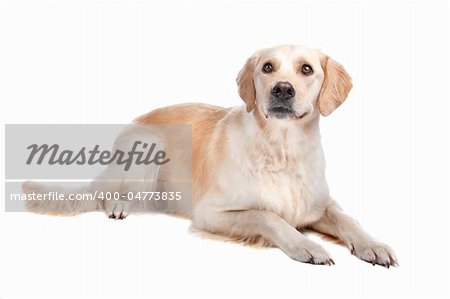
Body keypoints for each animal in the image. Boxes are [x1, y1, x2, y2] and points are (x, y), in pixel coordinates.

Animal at [23, 45, 398, 270]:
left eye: (306, 69)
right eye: (268, 67)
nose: (282, 89)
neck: (282, 149)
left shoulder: (321, 204)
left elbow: (349, 220)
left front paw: (373, 245)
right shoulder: (211, 212)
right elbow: (267, 216)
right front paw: (306, 245)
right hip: (146, 148)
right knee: (109, 193)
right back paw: (118, 205)